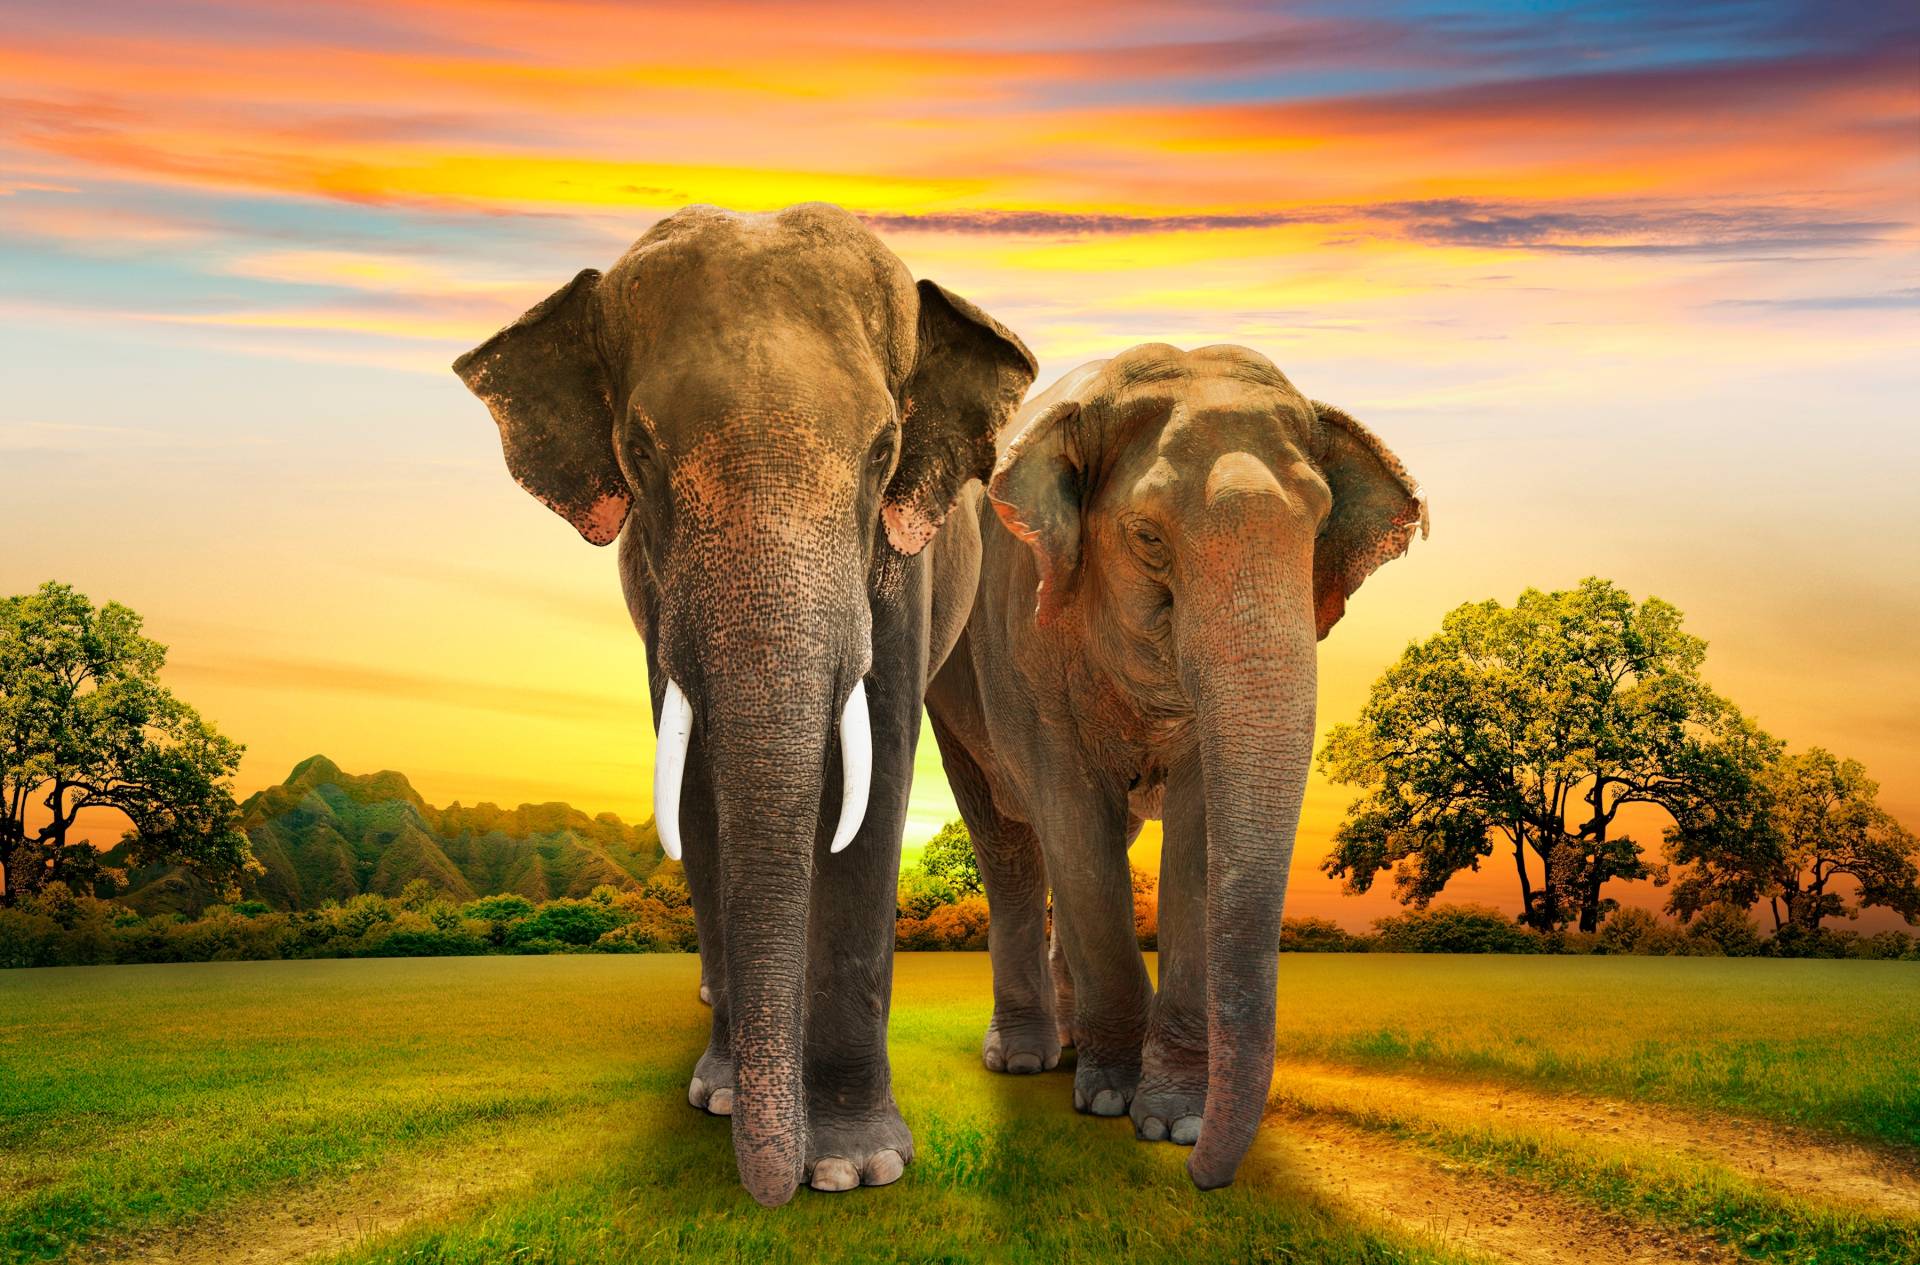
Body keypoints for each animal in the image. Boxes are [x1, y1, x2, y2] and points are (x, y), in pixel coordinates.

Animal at [453, 204, 1036, 1206]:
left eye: (884, 452)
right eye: (638, 453)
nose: (772, 1193)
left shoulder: (901, 566)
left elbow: (876, 780)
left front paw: (850, 1168)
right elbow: (694, 792)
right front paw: (723, 1099)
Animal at [924, 343, 1425, 1189]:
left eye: (1318, 526)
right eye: (1148, 538)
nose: (1201, 1176)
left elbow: (1196, 836)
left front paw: (1171, 1119)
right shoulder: (1020, 637)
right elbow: (1073, 822)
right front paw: (1110, 1101)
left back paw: (1071, 1046)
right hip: (954, 690)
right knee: (1013, 846)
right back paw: (1028, 1058)